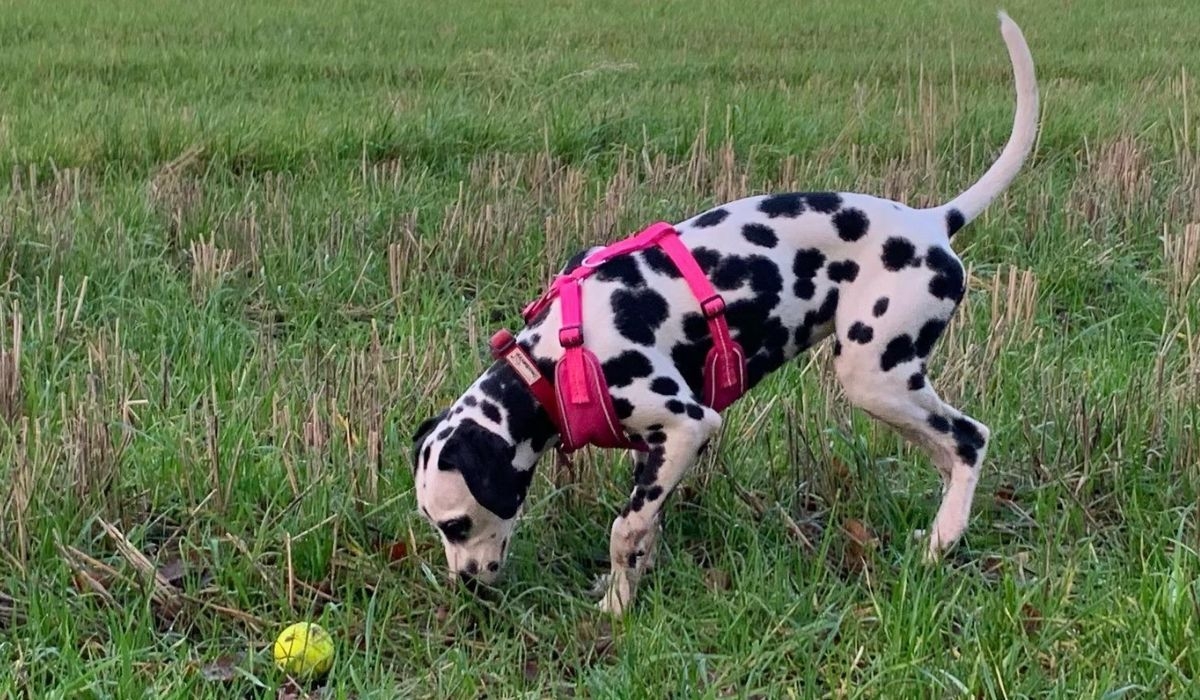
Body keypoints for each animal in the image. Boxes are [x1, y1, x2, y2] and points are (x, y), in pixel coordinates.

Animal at [408, 9, 1036, 614]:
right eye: (438, 527)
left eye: (456, 524)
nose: (465, 586)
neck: (549, 364)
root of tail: (934, 222)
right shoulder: (655, 449)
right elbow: (645, 528)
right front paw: (628, 585)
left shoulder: (688, 425)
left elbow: (624, 529)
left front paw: (615, 608)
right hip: (891, 388)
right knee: (948, 452)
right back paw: (939, 533)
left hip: (875, 376)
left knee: (969, 440)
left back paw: (941, 544)